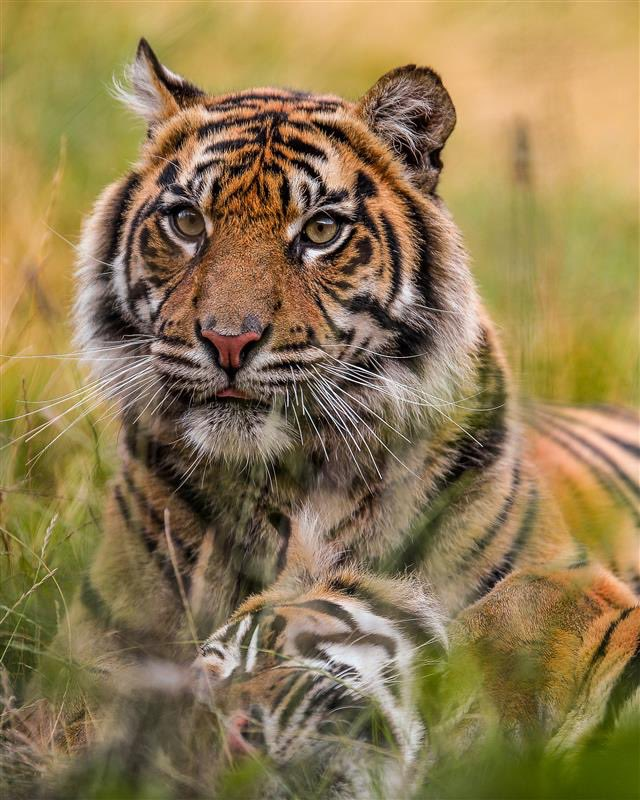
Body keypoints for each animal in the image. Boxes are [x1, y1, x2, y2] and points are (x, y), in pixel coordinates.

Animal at [40, 38, 638, 744]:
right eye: (187, 221)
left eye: (321, 231)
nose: (228, 342)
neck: (291, 479)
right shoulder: (93, 650)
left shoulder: (567, 576)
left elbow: (508, 614)